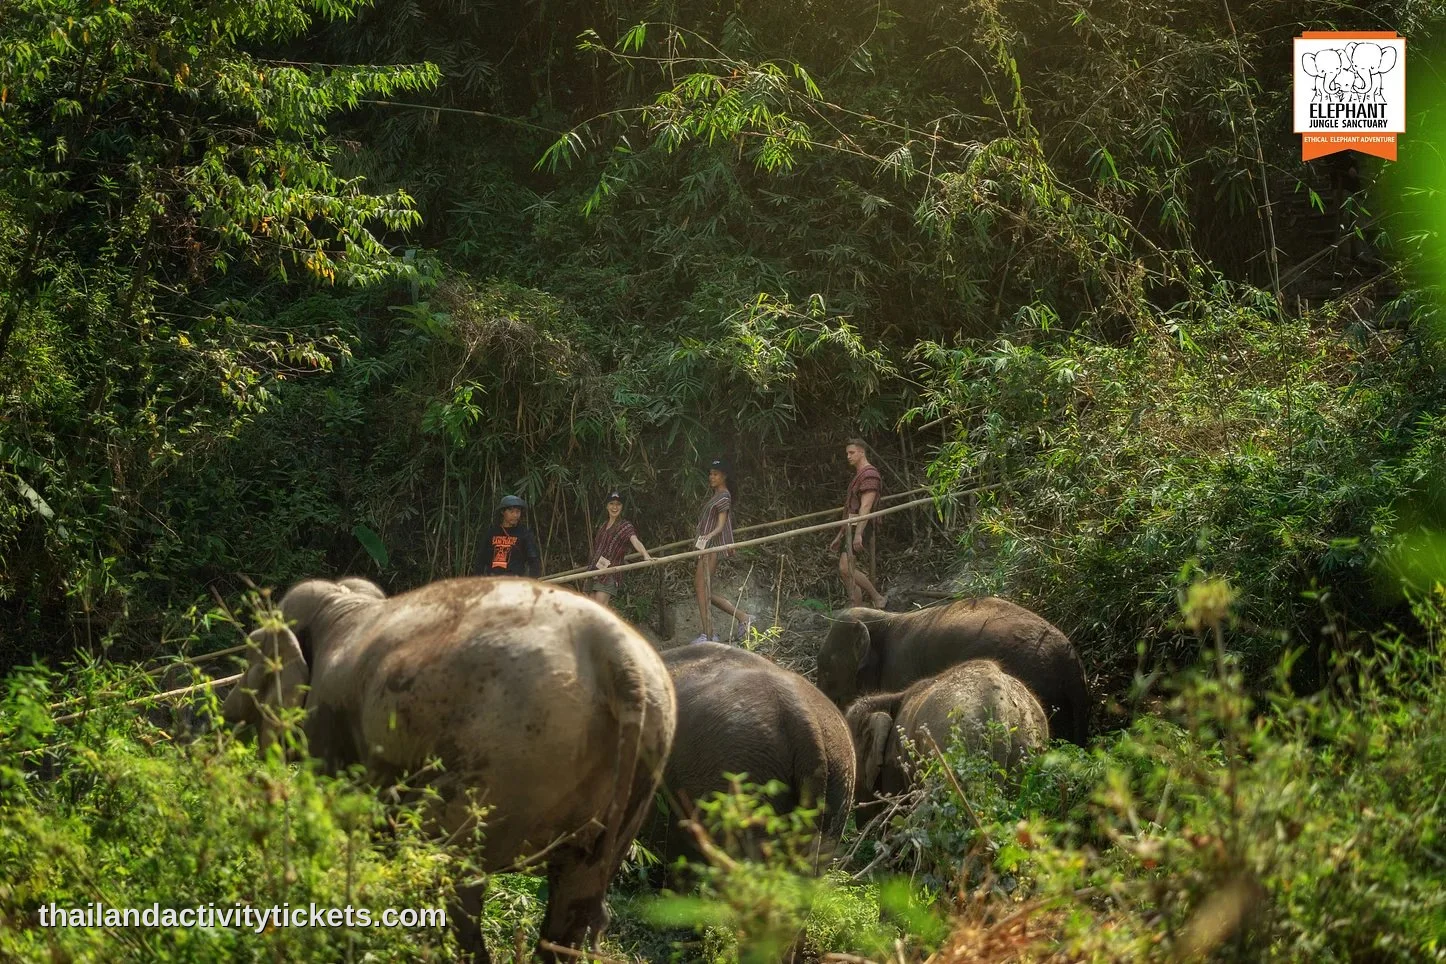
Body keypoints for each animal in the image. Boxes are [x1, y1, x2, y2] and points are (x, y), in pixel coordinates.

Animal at [221, 576, 677, 964]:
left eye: (249, 655)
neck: (343, 603)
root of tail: (619, 659)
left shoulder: (329, 719)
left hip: (510, 759)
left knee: (446, 864)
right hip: (632, 776)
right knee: (577, 891)